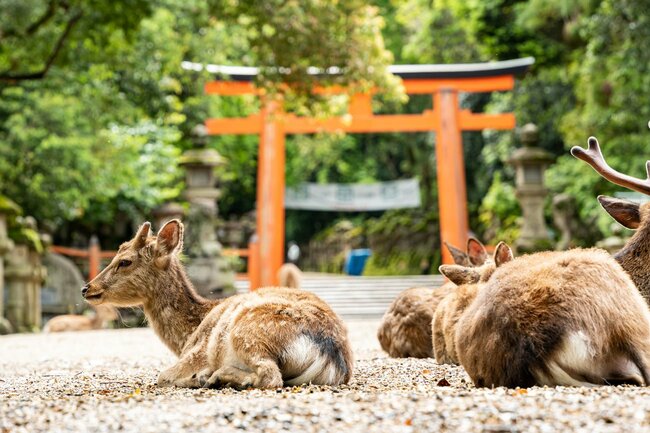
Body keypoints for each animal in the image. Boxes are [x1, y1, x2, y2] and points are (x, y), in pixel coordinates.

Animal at [81, 220, 353, 389]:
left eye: (125, 261)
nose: (87, 288)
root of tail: (332, 354)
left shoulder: (197, 352)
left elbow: (162, 376)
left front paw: (197, 377)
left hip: (248, 331)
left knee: (270, 376)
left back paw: (214, 378)